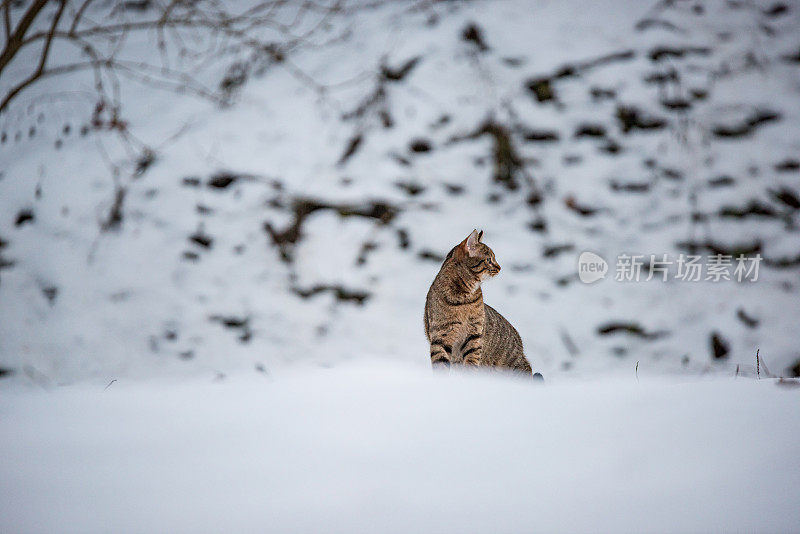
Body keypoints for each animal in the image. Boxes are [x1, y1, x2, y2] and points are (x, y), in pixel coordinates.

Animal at [422, 229, 540, 376]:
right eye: (489, 259)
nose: (500, 267)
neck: (464, 298)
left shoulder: (474, 335)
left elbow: (471, 363)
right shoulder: (440, 337)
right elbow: (441, 366)